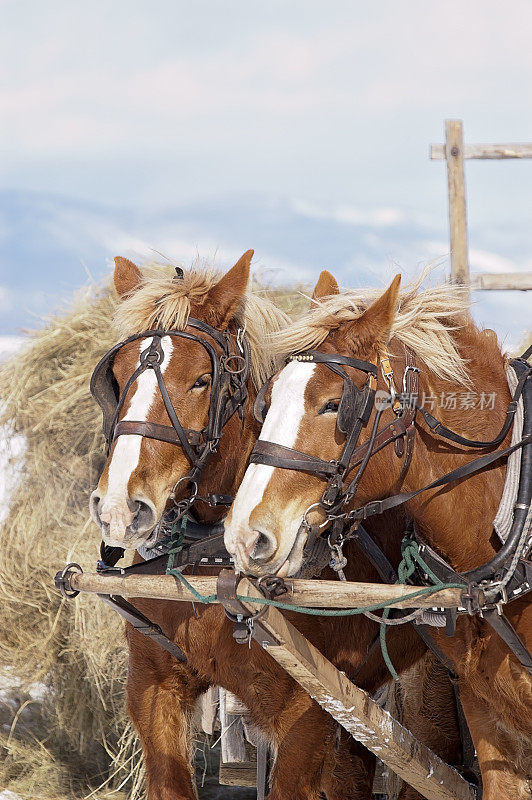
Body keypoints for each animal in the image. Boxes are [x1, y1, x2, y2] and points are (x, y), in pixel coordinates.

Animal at [89, 258, 460, 800]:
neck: (211, 568)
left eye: (202, 379)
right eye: (116, 377)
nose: (118, 507)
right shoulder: (153, 688)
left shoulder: (310, 711)